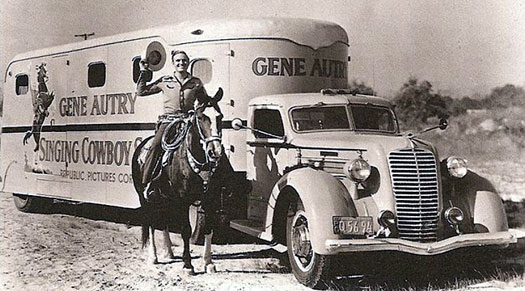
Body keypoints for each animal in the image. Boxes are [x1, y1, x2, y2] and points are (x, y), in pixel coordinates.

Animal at [131, 88, 231, 274]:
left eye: (219, 116)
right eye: (201, 117)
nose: (215, 151)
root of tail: (141, 147)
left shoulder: (210, 199)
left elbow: (208, 229)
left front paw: (208, 262)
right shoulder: (183, 200)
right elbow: (186, 230)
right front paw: (187, 265)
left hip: (164, 197)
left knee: (163, 221)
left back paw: (169, 252)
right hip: (145, 197)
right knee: (151, 223)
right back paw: (153, 257)